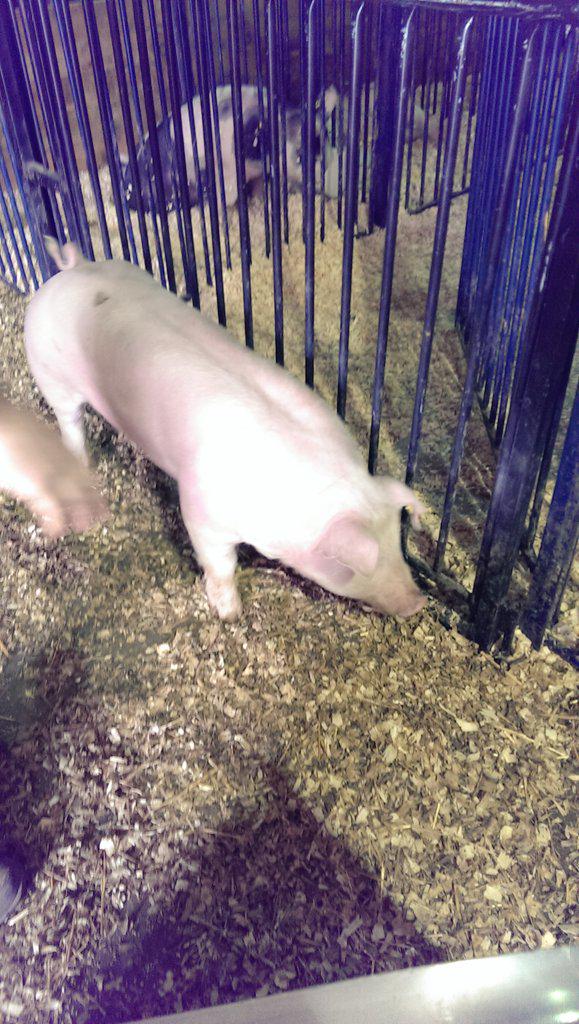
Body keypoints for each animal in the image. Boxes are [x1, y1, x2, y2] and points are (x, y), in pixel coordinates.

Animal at [24, 238, 426, 622]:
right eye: (347, 566)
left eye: (398, 542)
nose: (417, 601)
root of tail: (71, 271)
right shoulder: (201, 510)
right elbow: (219, 564)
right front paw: (230, 614)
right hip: (49, 371)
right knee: (69, 421)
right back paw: (81, 462)